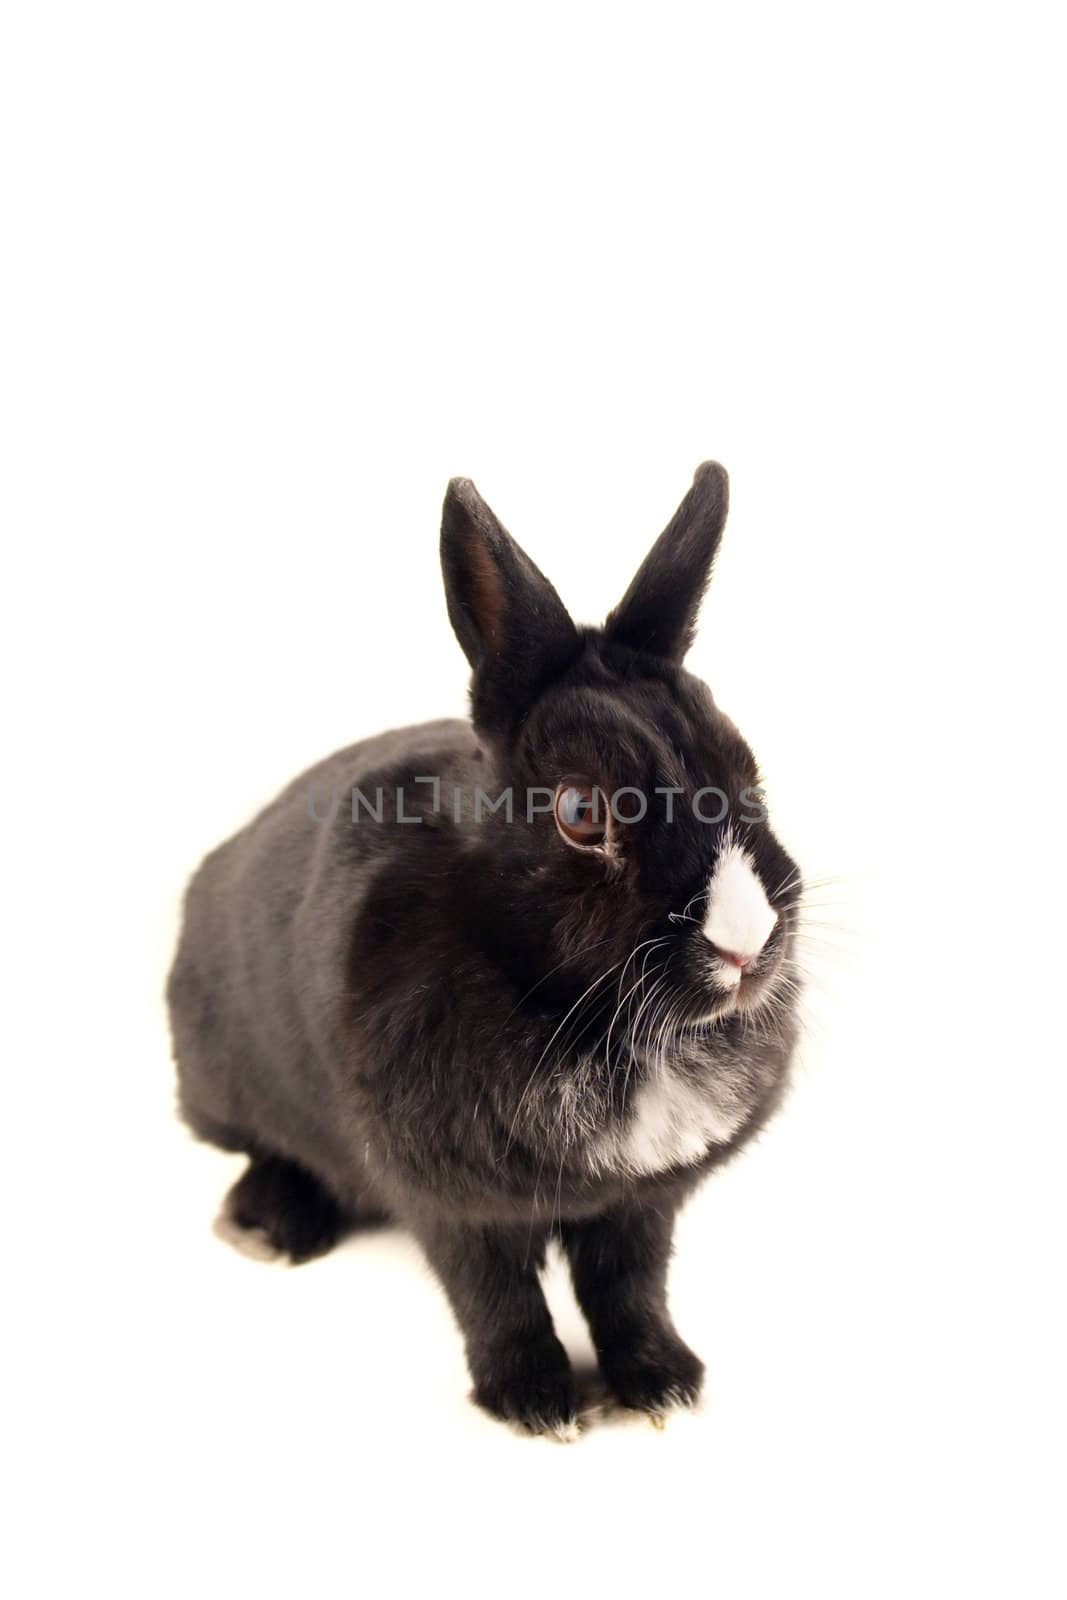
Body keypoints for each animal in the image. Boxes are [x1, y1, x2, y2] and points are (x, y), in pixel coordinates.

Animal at [167, 460, 799, 1440]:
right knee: (264, 1149)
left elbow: (630, 1287)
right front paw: (536, 1403)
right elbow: (496, 1298)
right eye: (580, 812)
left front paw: (663, 1384)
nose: (744, 946)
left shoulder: (642, 1203)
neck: (606, 1025)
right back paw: (266, 1224)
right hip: (223, 1083)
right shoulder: (454, 1206)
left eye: (747, 771)